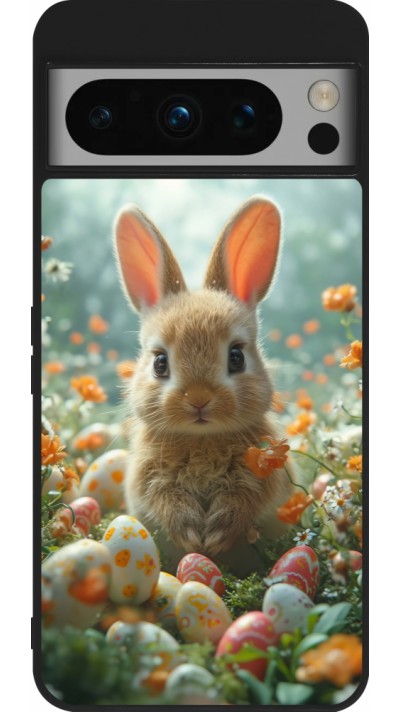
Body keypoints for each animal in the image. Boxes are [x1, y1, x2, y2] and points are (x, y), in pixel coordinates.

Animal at [114, 196, 293, 572]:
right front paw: (192, 535)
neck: (202, 439)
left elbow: (245, 500)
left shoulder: (263, 475)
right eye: (160, 363)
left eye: (236, 357)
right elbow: (165, 500)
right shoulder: (148, 478)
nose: (198, 399)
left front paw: (216, 535)